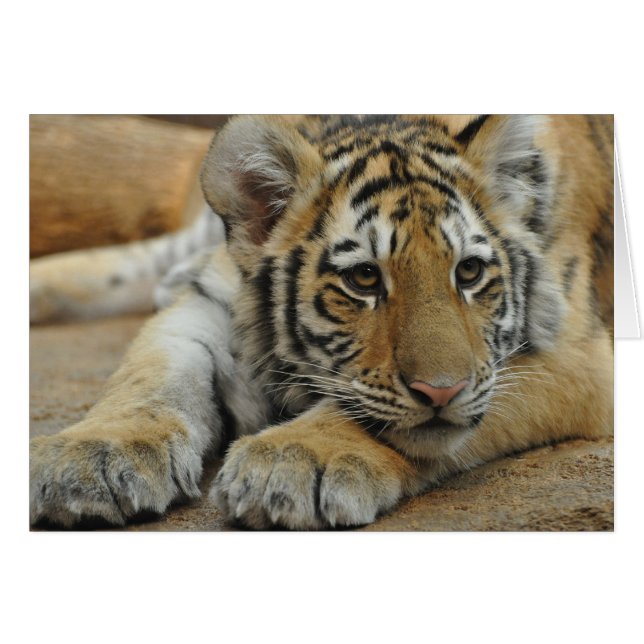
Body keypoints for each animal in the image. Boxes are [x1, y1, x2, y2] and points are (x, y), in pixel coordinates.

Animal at [29, 114, 614, 530]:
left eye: (468, 272)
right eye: (364, 279)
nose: (441, 392)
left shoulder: (578, 350)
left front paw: (292, 461)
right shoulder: (212, 296)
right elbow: (152, 372)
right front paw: (93, 458)